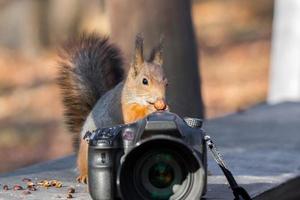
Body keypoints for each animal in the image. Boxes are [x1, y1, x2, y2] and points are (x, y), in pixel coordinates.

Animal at [56, 33, 169, 184]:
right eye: (144, 81)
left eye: (167, 83)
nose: (161, 99)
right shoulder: (124, 107)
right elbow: (133, 117)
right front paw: (152, 110)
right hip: (87, 148)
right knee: (84, 163)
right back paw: (85, 175)